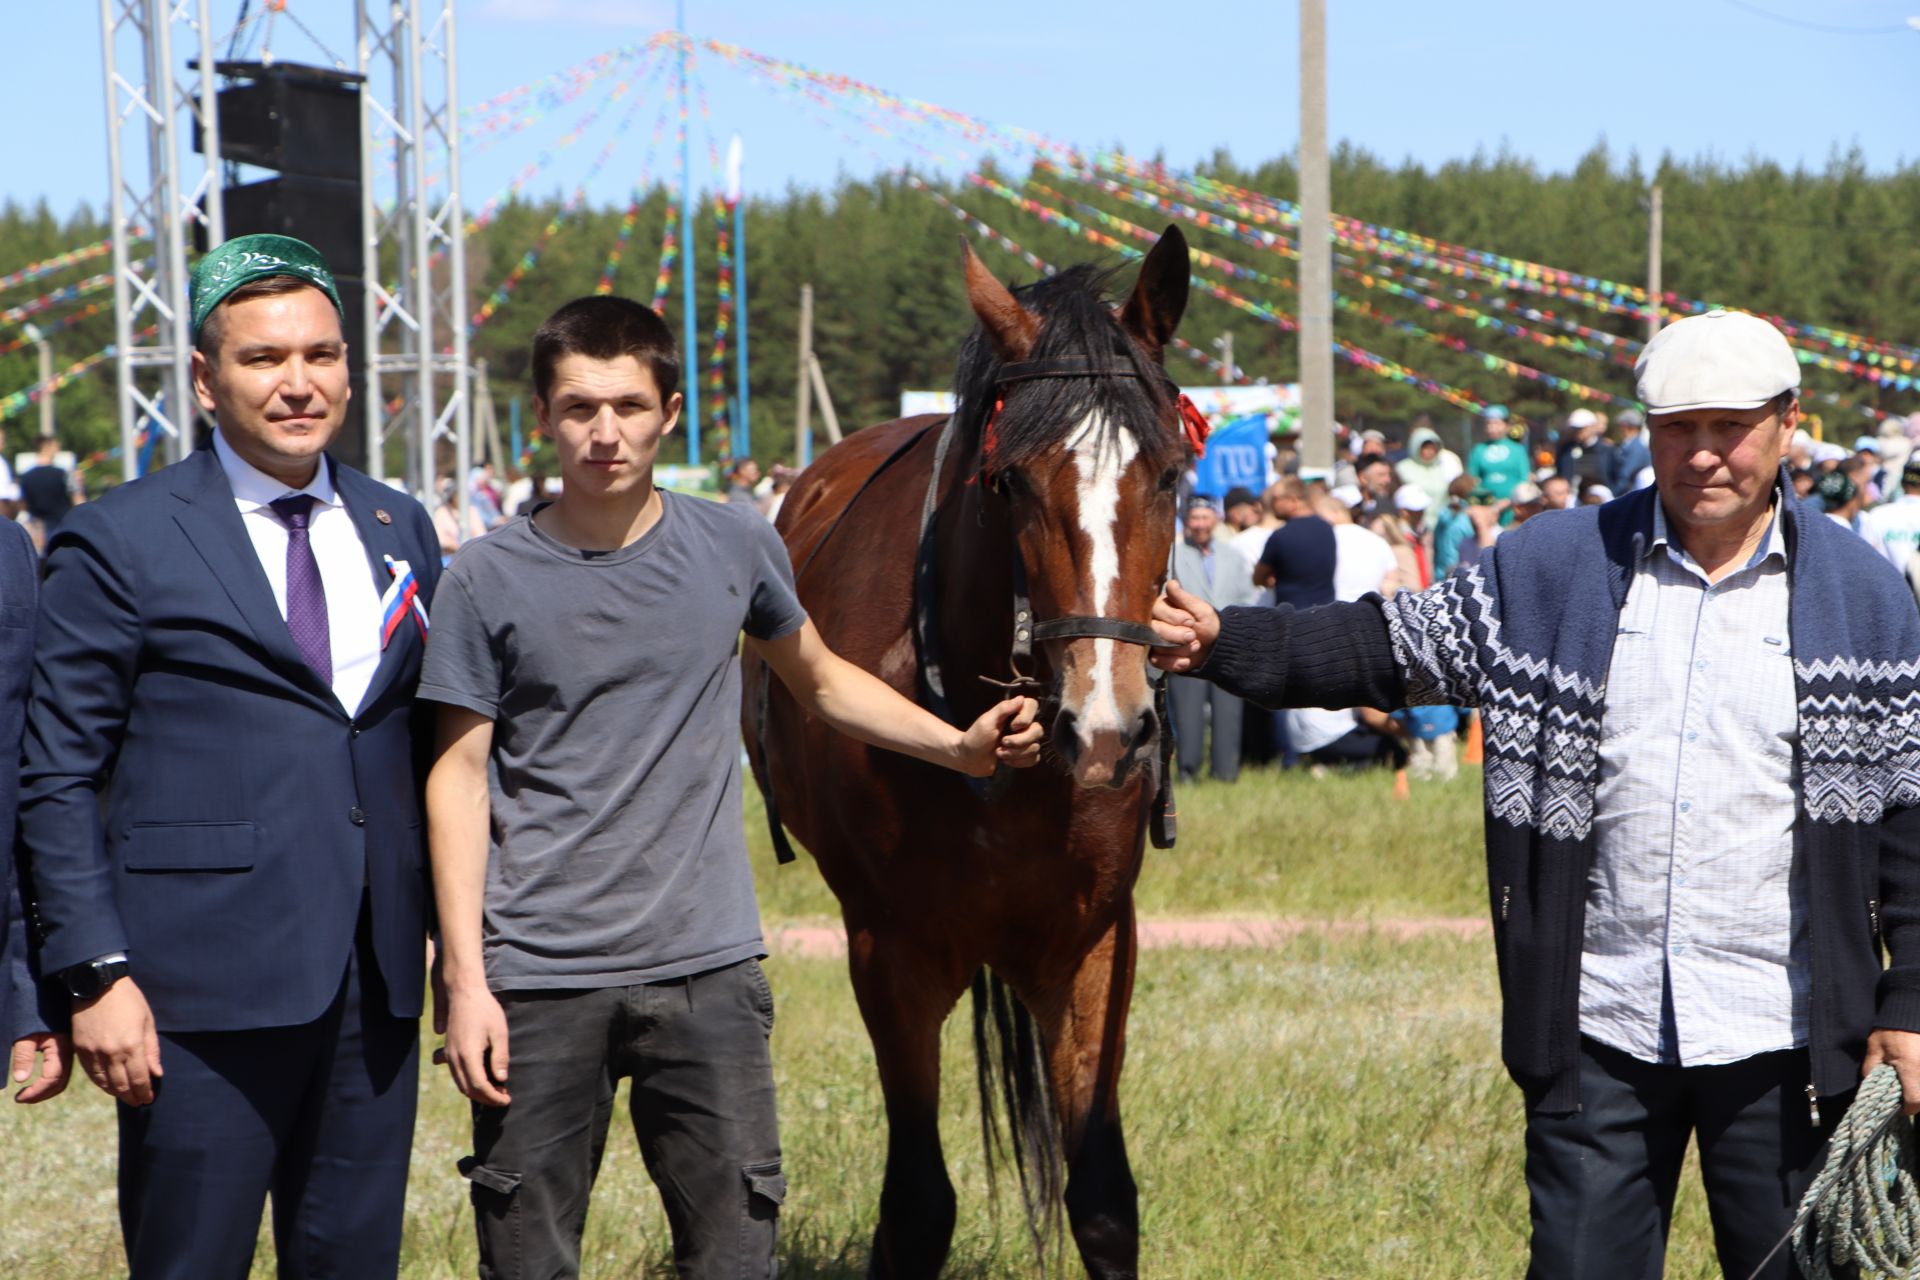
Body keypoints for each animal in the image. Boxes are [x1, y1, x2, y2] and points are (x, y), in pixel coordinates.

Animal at [741, 230, 1190, 1280]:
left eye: (1167, 473)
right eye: (1011, 480)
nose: (1106, 728)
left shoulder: (1094, 941)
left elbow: (1102, 1200)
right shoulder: (891, 950)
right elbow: (916, 1208)